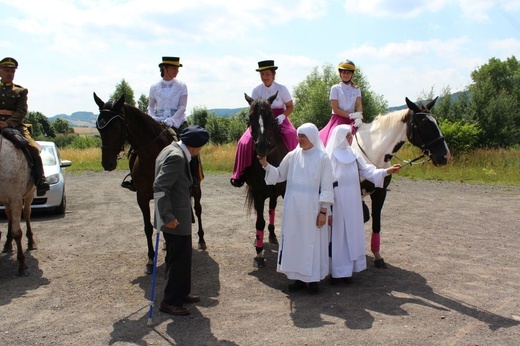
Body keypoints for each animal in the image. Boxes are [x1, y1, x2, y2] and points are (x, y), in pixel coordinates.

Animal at [0, 137, 35, 274]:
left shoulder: (16, 200)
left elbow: (17, 233)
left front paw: (22, 265)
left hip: (29, 194)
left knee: (27, 213)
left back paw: (31, 242)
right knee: (9, 216)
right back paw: (7, 243)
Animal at [92, 93, 206, 274]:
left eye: (116, 127)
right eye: (99, 128)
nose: (107, 163)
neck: (152, 157)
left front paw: (167, 260)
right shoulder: (142, 197)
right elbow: (148, 227)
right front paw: (151, 258)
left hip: (196, 190)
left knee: (198, 210)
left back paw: (201, 239)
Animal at [242, 92, 286, 268]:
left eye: (271, 117)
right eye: (250, 117)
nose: (261, 146)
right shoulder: (258, 193)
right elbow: (259, 222)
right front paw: (259, 254)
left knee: (272, 208)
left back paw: (272, 235)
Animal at [354, 96, 450, 268]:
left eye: (437, 122)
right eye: (425, 124)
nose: (445, 156)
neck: (372, 150)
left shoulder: (380, 193)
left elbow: (376, 222)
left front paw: (377, 256)